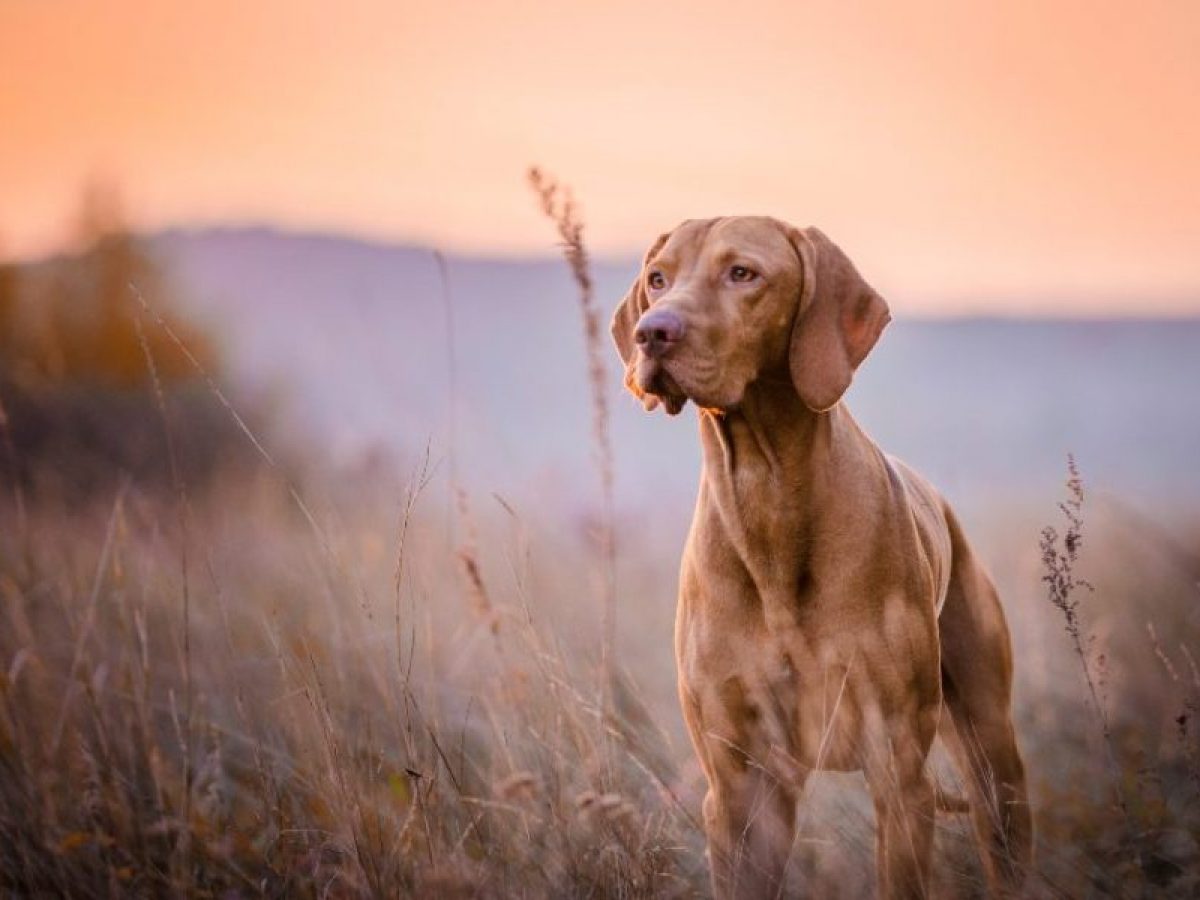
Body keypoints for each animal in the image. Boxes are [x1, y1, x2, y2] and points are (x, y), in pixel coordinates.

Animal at [609, 214, 1032, 897]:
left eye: (742, 273)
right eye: (657, 279)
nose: (652, 332)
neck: (766, 497)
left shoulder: (897, 770)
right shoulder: (740, 786)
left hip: (993, 755)